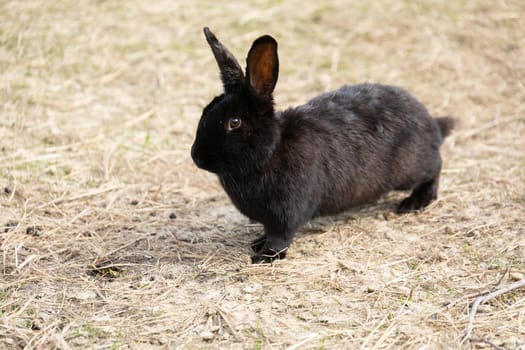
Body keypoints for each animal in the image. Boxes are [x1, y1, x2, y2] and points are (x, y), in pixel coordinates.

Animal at [190, 27, 452, 262]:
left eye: (234, 122)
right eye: (205, 112)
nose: (196, 156)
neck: (270, 152)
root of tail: (432, 125)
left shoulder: (286, 215)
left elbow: (280, 237)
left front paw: (264, 256)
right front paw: (257, 243)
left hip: (410, 169)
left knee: (435, 169)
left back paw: (414, 203)